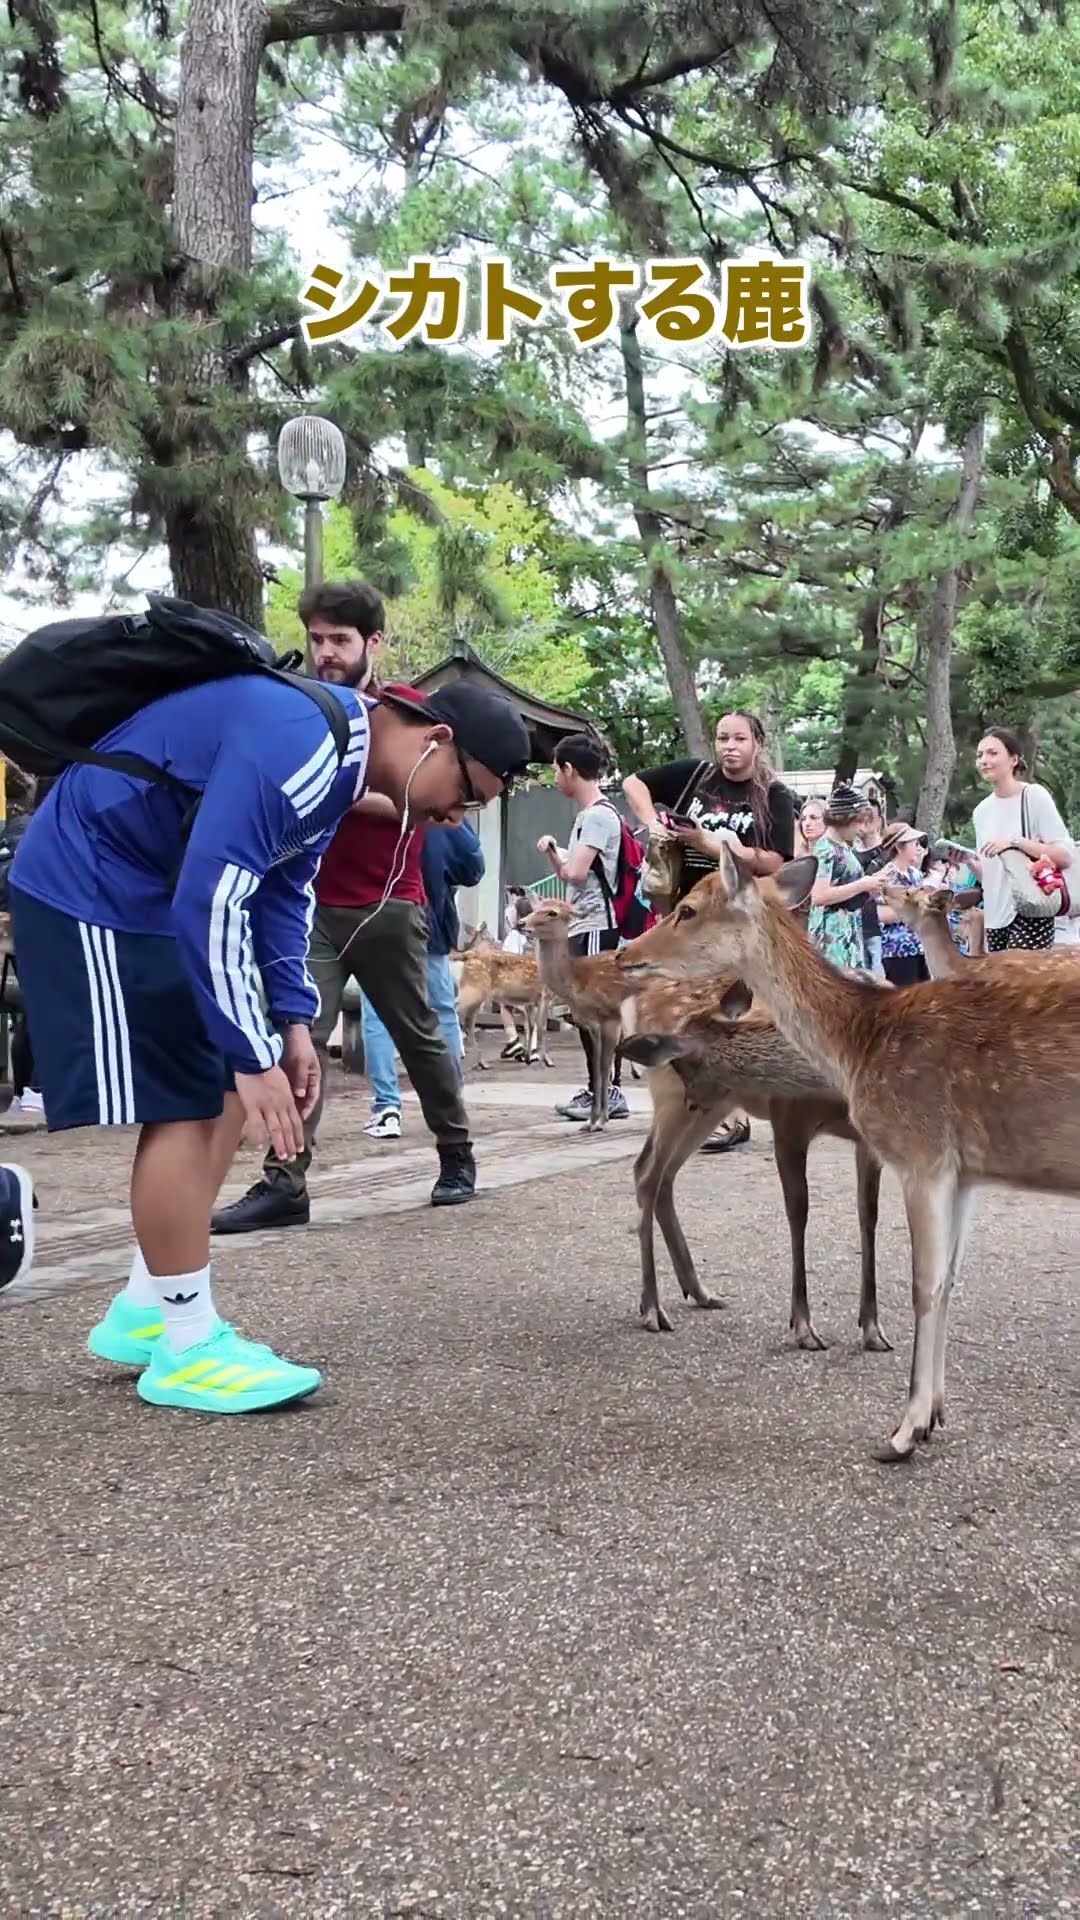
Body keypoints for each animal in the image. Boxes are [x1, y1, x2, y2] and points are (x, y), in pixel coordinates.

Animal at [619, 971, 890, 1351]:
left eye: (682, 1064)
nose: (691, 1096)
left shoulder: (868, 1141)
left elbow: (869, 1216)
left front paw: (872, 1328)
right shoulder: (787, 1121)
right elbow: (798, 1212)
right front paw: (803, 1327)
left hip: (710, 1107)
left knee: (663, 1176)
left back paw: (699, 1291)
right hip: (675, 1101)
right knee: (646, 1172)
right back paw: (652, 1308)